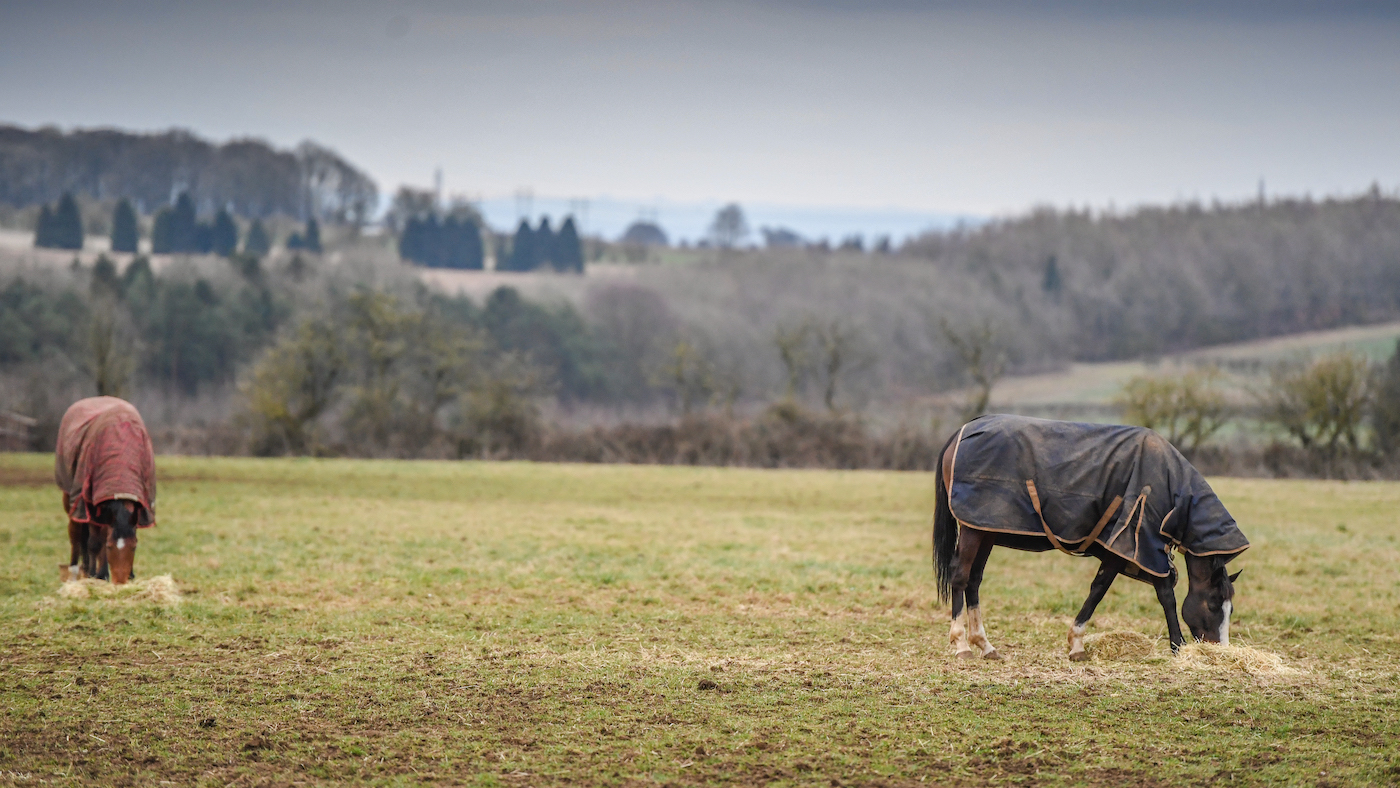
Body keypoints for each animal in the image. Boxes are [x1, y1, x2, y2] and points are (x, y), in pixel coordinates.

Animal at [55, 397, 157, 585]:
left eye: (134, 547)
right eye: (110, 547)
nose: (120, 582)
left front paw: (123, 575)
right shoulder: (91, 506)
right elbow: (95, 543)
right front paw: (96, 575)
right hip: (72, 501)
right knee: (76, 536)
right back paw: (76, 573)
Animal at [933, 414, 1247, 660]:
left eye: (1230, 608)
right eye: (1213, 603)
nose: (1220, 649)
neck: (1170, 490)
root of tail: (961, 433)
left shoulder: (1126, 551)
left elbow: (1105, 590)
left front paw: (1076, 645)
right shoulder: (1133, 547)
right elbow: (1155, 594)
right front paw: (1177, 646)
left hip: (984, 530)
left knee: (973, 581)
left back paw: (985, 646)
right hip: (973, 531)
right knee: (960, 577)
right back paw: (961, 644)